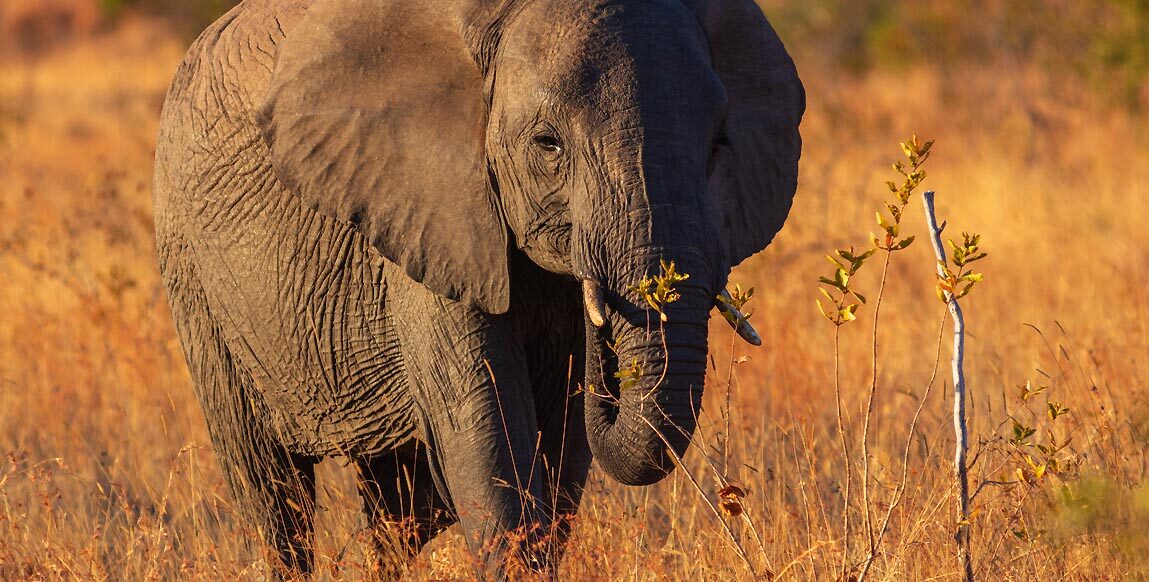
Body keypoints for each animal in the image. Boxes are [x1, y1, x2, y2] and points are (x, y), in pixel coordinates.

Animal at [152, 0, 803, 577]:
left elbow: (559, 445)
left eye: (718, 145)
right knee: (274, 497)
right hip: (192, 273)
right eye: (548, 145)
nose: (609, 347)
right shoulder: (430, 204)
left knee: (399, 512)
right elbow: (488, 428)